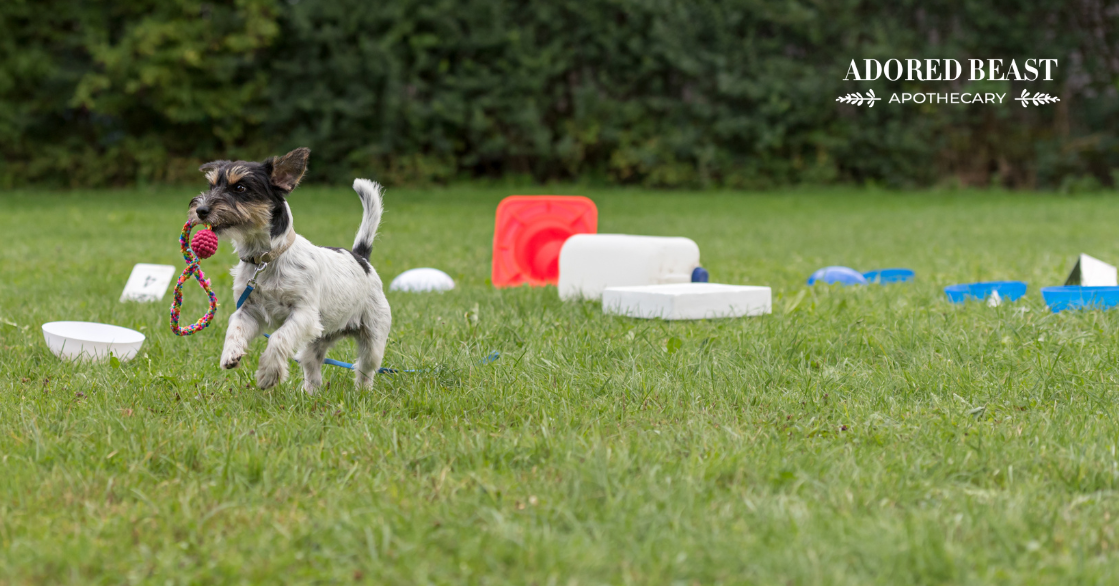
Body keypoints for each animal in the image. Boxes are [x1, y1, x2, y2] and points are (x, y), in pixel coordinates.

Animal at [185, 147, 391, 393]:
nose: (200, 210)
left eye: (240, 188)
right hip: (318, 339)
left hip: (373, 338)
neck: (265, 259)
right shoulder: (248, 311)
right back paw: (310, 393)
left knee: (365, 367)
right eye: (211, 186)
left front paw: (268, 374)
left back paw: (362, 391)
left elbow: (278, 338)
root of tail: (361, 257)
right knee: (312, 366)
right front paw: (231, 353)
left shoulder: (303, 314)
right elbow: (234, 329)